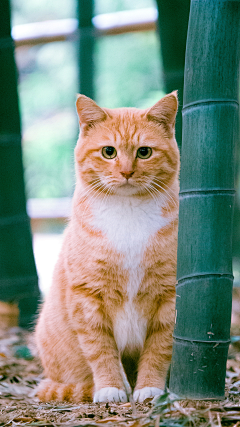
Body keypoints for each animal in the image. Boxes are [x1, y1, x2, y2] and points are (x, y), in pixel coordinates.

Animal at [35, 92, 178, 406]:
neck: (128, 212)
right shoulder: (87, 296)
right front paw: (111, 387)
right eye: (108, 152)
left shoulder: (169, 295)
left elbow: (159, 349)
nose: (126, 171)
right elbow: (101, 349)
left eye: (144, 152)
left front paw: (149, 388)